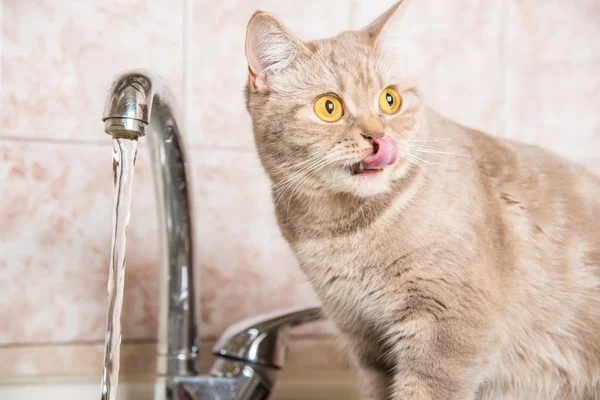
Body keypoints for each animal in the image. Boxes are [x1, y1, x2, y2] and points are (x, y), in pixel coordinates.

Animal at [243, 1, 600, 398]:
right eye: (329, 107)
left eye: (389, 100)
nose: (378, 136)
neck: (341, 231)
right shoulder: (365, 337)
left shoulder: (448, 333)